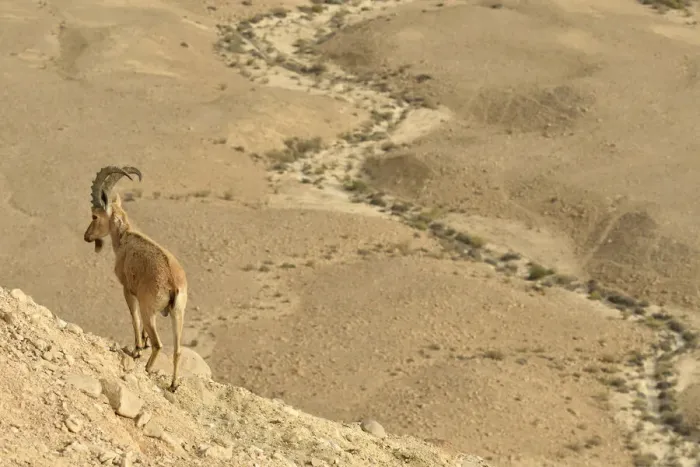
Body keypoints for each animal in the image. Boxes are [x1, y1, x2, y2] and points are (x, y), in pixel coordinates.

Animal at [83, 166, 187, 392]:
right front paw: (143, 343)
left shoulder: (128, 290)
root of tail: (173, 284)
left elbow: (134, 317)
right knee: (177, 350)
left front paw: (138, 348)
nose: (87, 236)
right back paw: (173, 384)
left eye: (94, 216)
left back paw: (147, 368)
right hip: (178, 313)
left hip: (150, 309)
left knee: (159, 344)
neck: (125, 237)